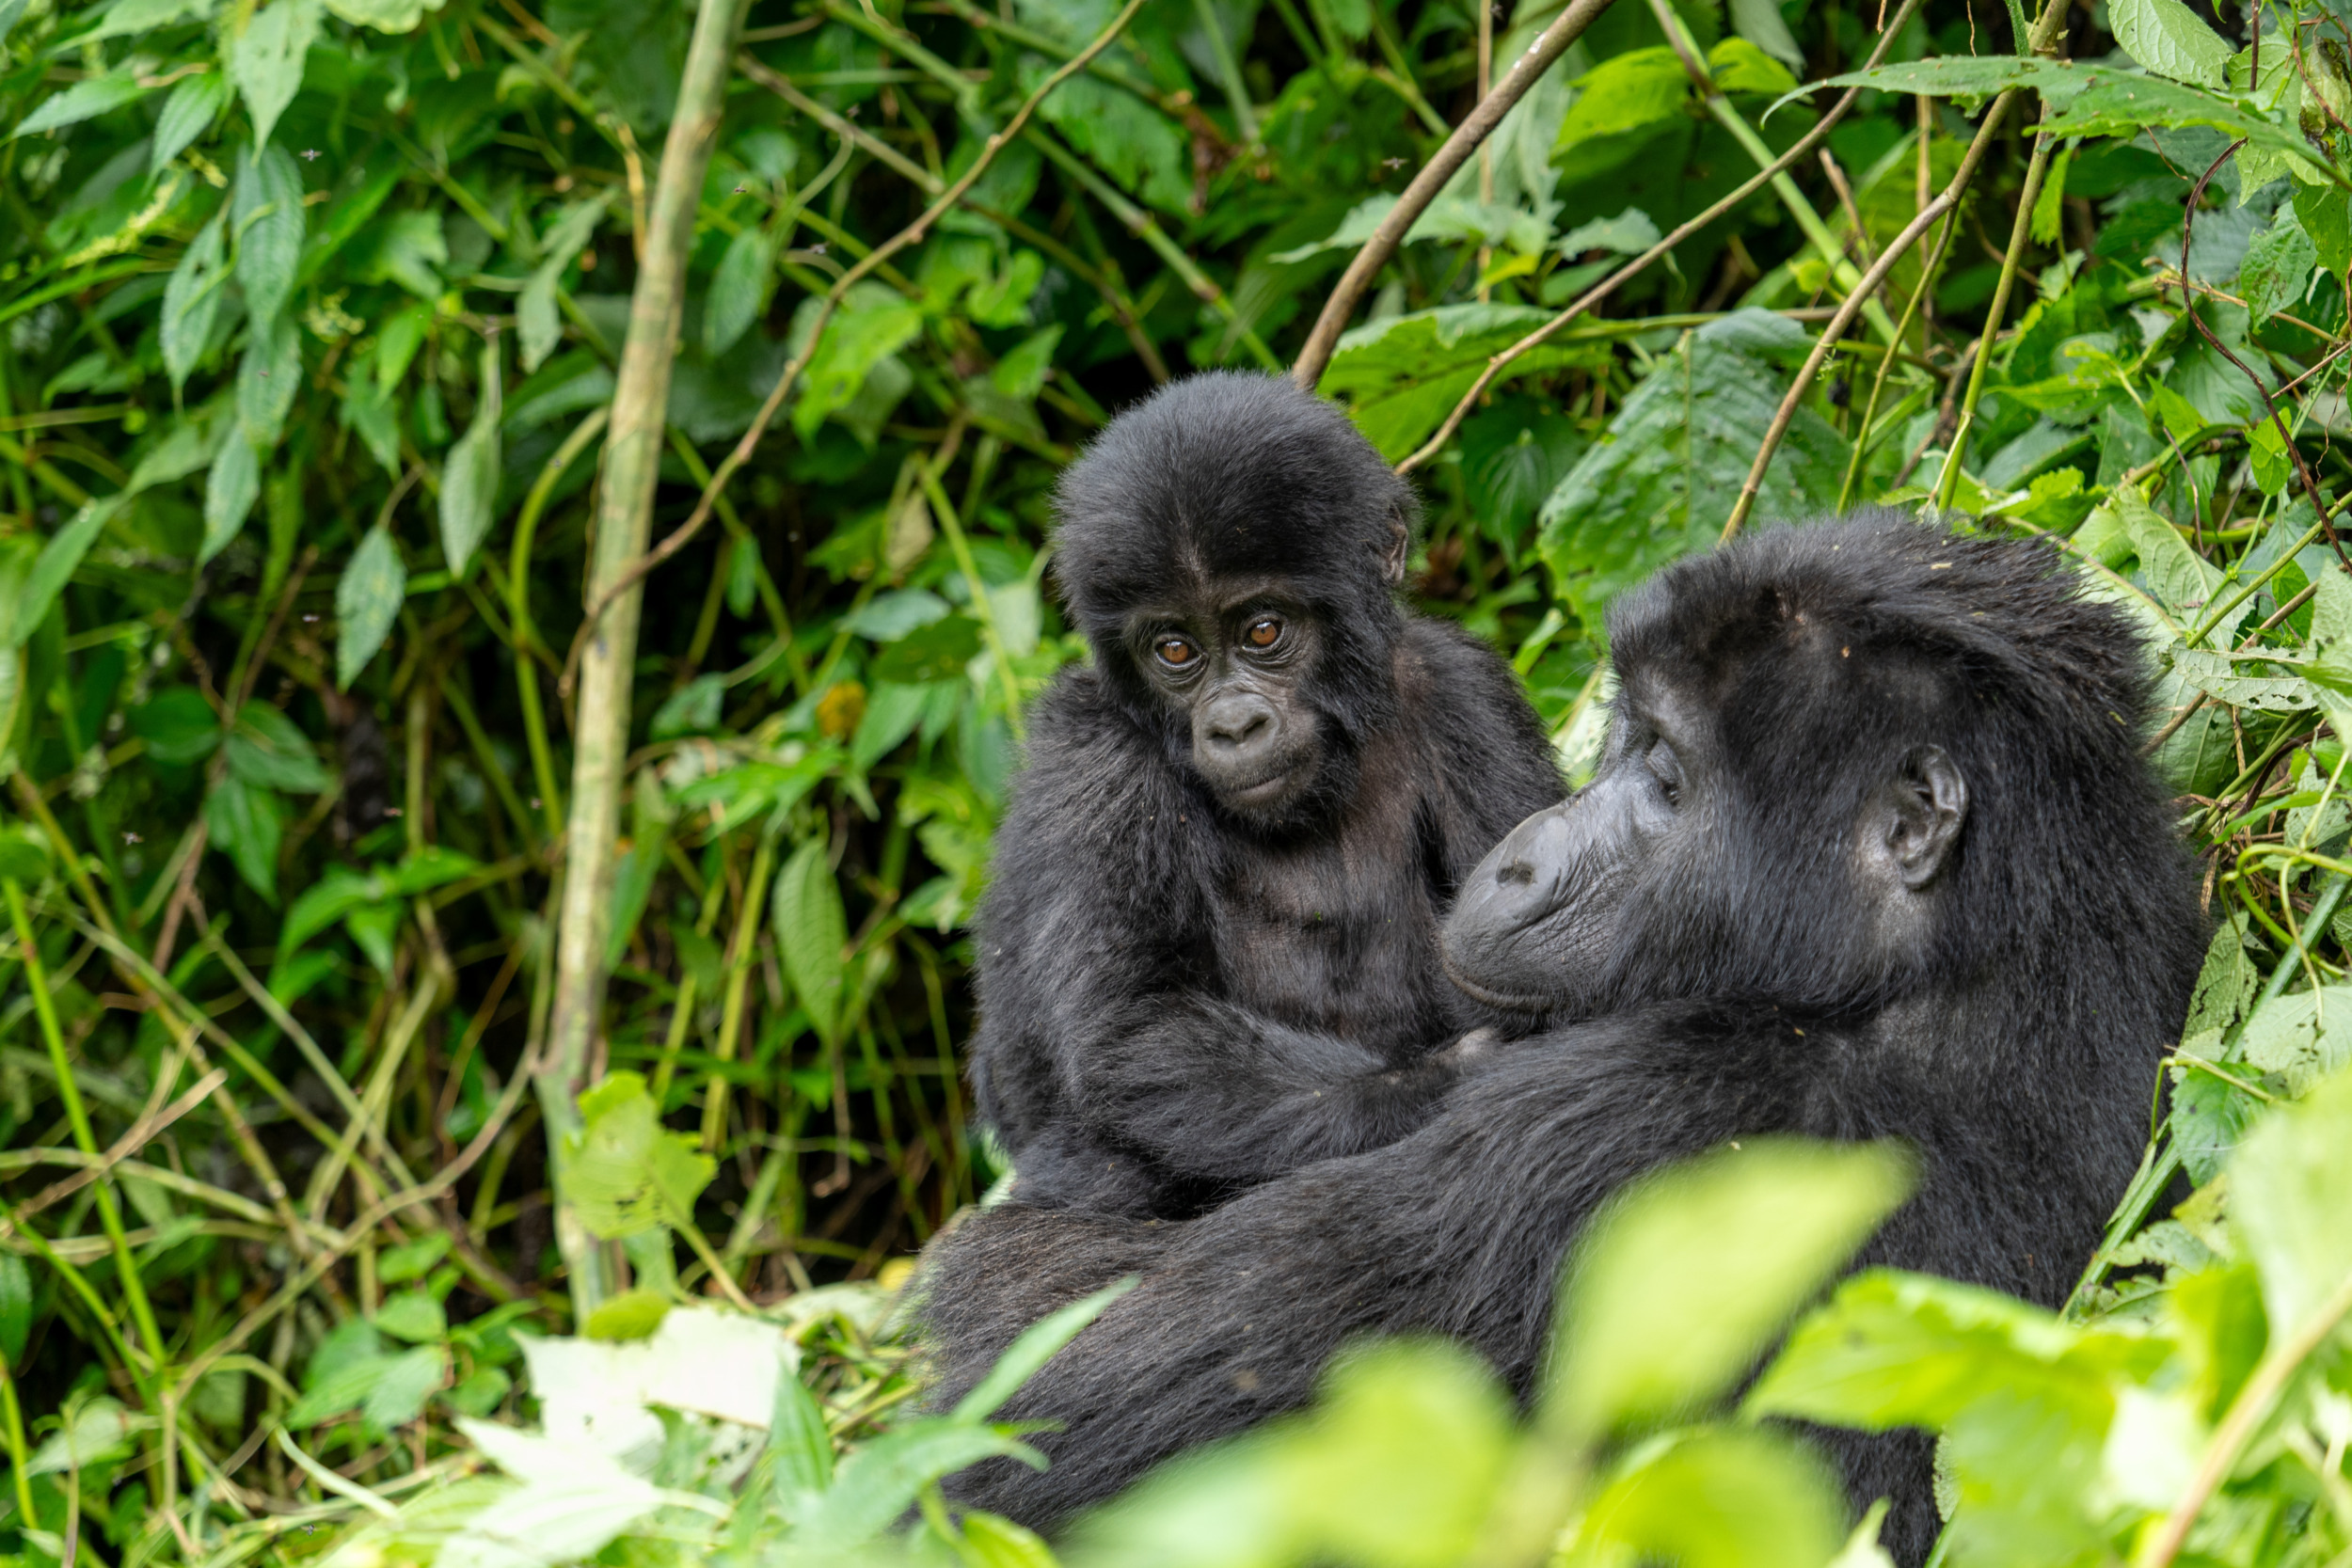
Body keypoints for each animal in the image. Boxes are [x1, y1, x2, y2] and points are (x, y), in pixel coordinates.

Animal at [917, 521, 2201, 1560]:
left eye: (1668, 775)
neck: (1962, 955)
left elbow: (1043, 1406)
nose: (1524, 853)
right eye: (1624, 737)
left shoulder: (1632, 1120)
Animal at [964, 373, 1571, 1222]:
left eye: (1261, 631)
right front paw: (1454, 1076)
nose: (1233, 724)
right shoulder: (1096, 756)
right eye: (1174, 649)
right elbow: (1135, 1027)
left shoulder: (1467, 691)